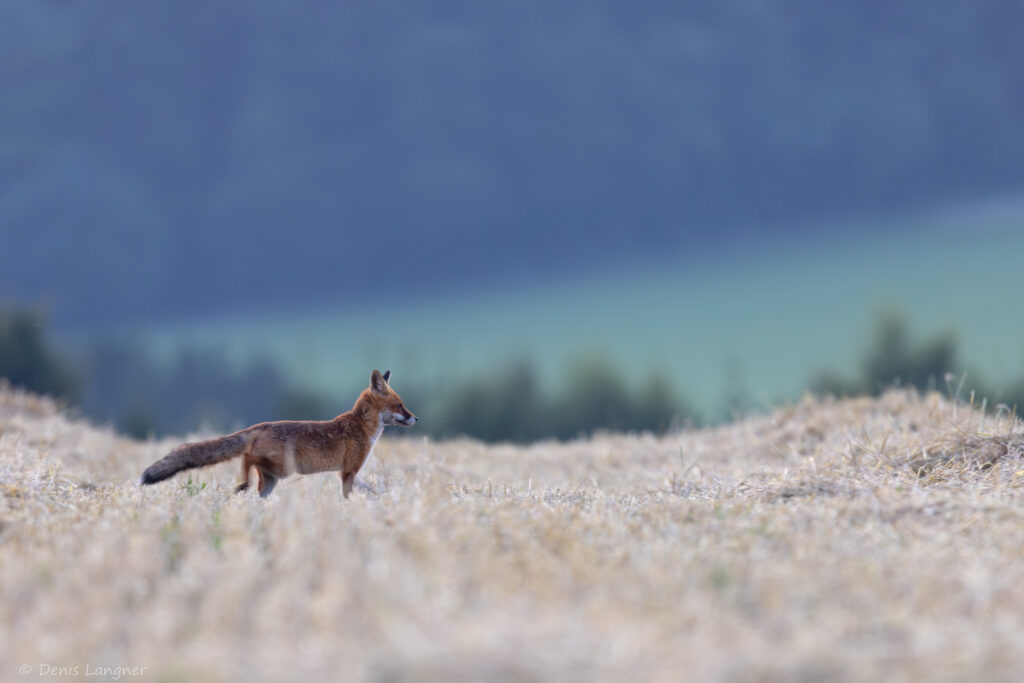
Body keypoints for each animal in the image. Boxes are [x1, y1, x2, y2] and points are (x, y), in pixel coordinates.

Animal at [139, 369, 417, 498]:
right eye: (400, 405)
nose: (416, 418)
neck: (361, 428)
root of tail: (259, 426)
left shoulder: (348, 473)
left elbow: (372, 490)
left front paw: (382, 502)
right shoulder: (348, 471)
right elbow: (350, 494)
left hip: (272, 478)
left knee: (254, 476)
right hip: (283, 469)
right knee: (247, 459)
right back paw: (242, 484)